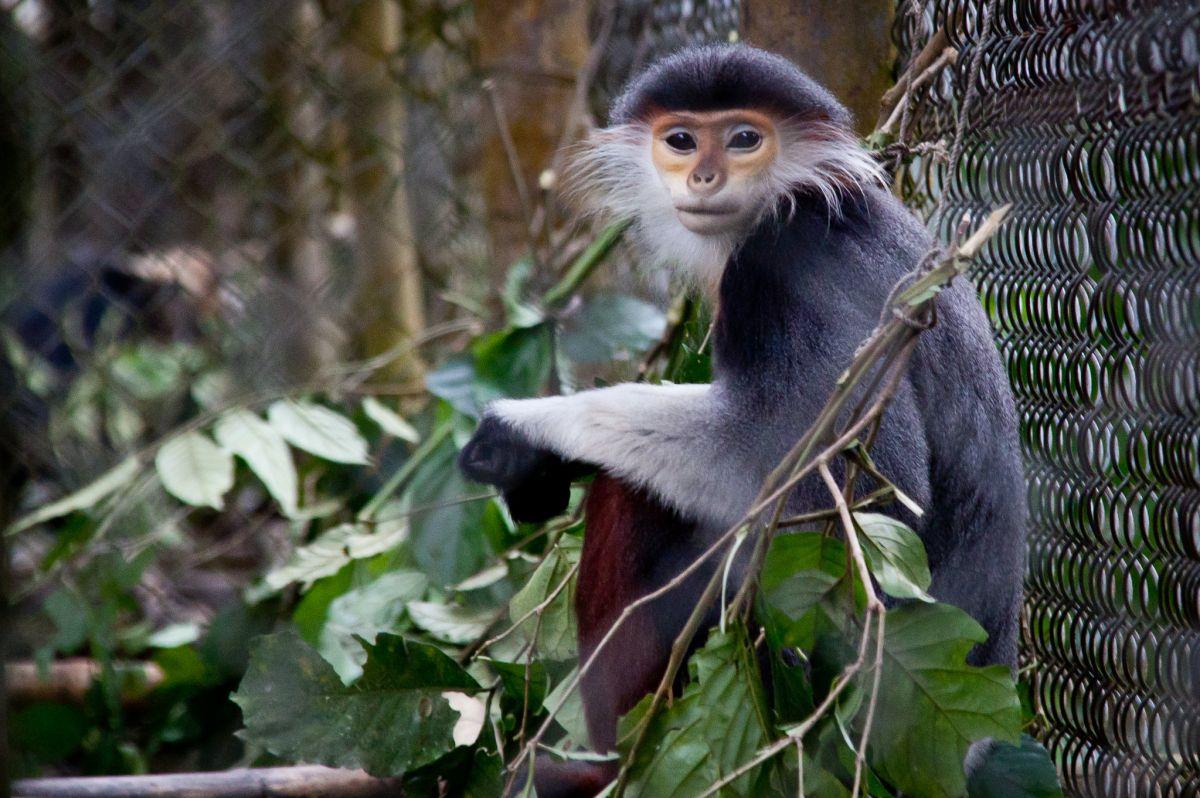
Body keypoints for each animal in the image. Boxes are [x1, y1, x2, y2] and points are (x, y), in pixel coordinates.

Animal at [456, 45, 1022, 796]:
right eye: (681, 140)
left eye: (745, 138)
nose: (703, 175)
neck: (806, 198)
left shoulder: (785, 267)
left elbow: (857, 497)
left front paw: (526, 432)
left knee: (635, 491)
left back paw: (610, 764)